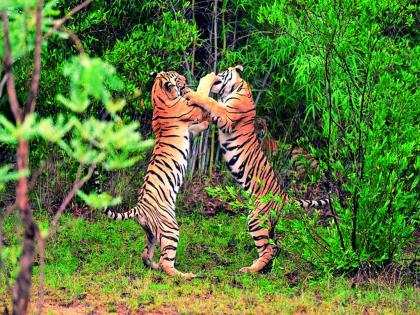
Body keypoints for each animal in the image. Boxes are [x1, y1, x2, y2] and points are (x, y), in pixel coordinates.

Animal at [105, 71, 210, 278]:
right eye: (177, 77)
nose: (185, 79)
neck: (158, 98)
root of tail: (139, 207)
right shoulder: (191, 114)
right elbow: (203, 102)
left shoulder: (192, 128)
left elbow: (203, 122)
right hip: (171, 229)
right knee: (166, 262)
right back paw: (187, 275)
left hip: (151, 233)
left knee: (145, 255)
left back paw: (153, 266)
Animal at [185, 67, 330, 274]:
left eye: (223, 71)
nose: (215, 72)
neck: (234, 88)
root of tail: (284, 196)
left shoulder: (226, 116)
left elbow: (210, 102)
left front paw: (192, 93)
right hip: (269, 224)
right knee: (275, 246)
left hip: (257, 219)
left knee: (268, 249)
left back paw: (250, 269)